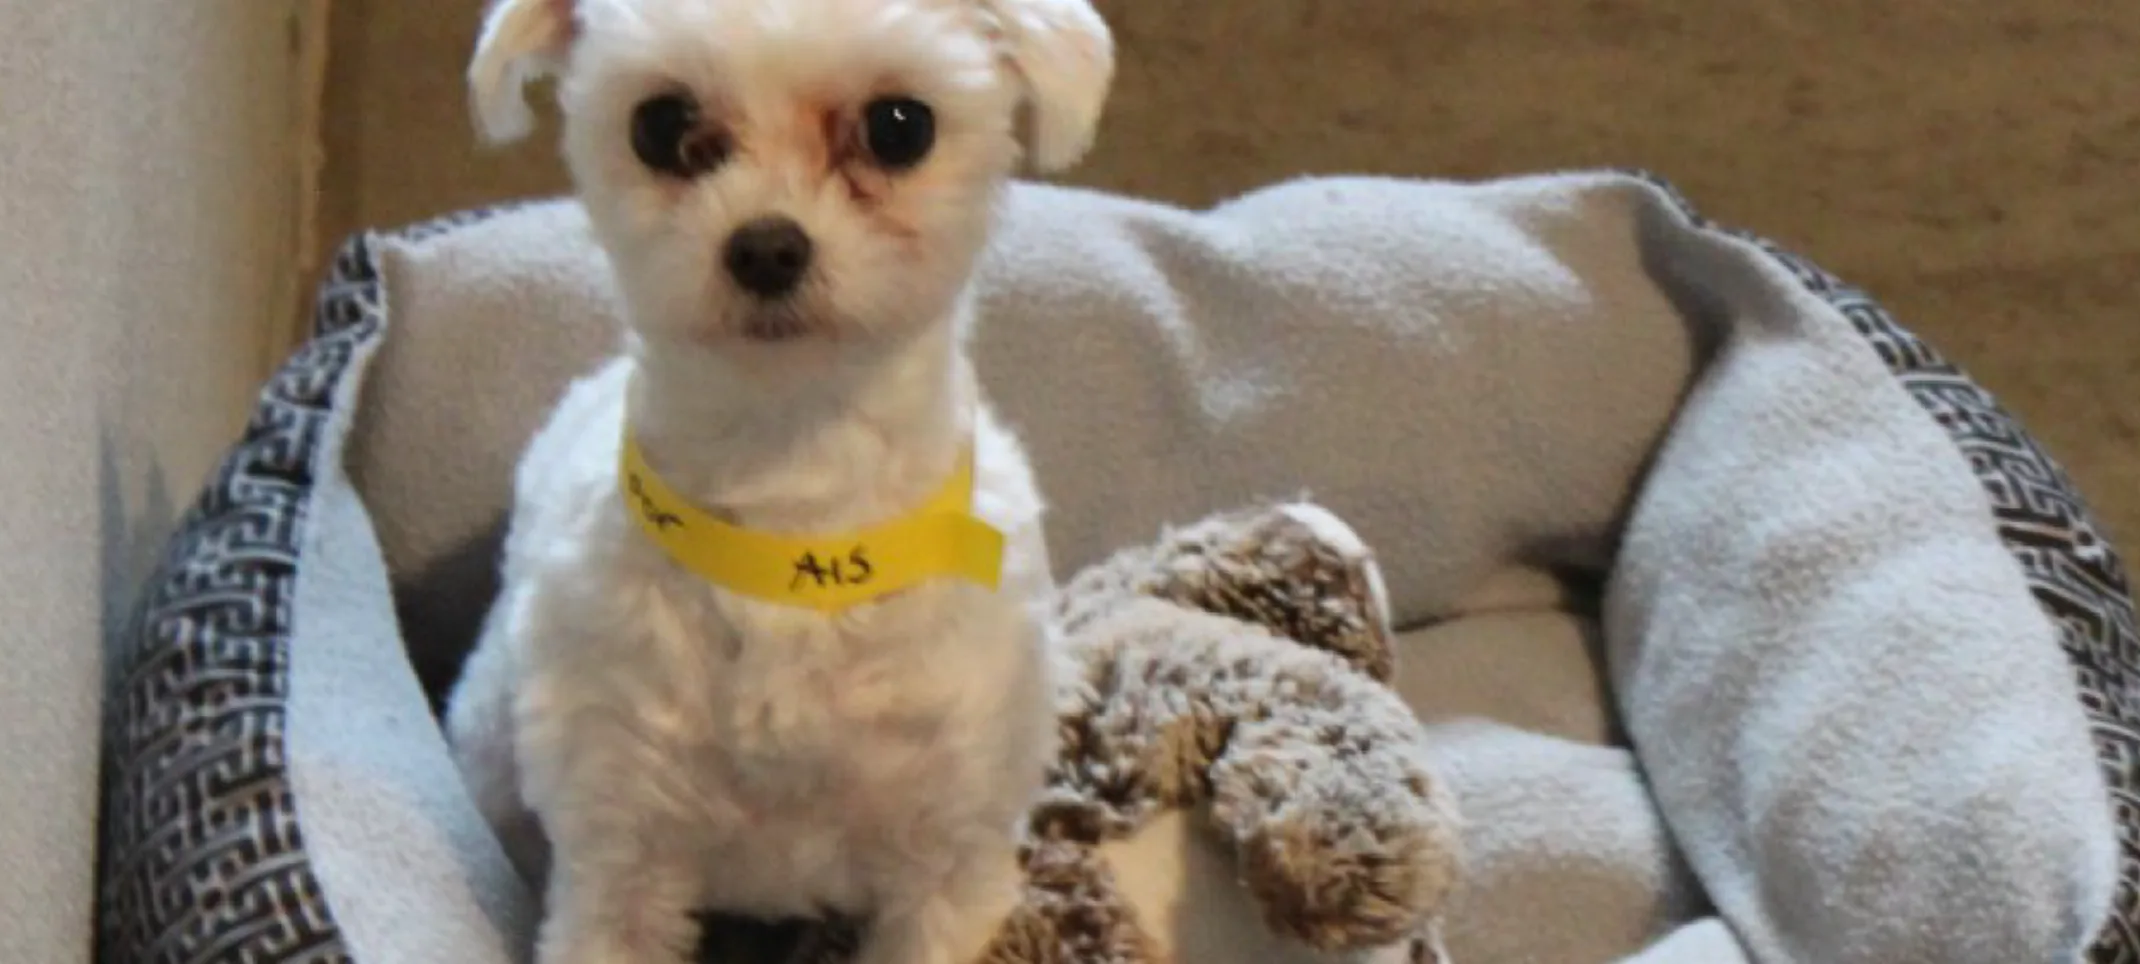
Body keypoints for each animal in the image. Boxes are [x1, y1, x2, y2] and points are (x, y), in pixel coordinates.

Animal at [447, 1, 1121, 964]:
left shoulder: (949, 862)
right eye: (660, 124)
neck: (790, 508)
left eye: (901, 125)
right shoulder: (621, 846)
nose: (766, 247)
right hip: (492, 740)